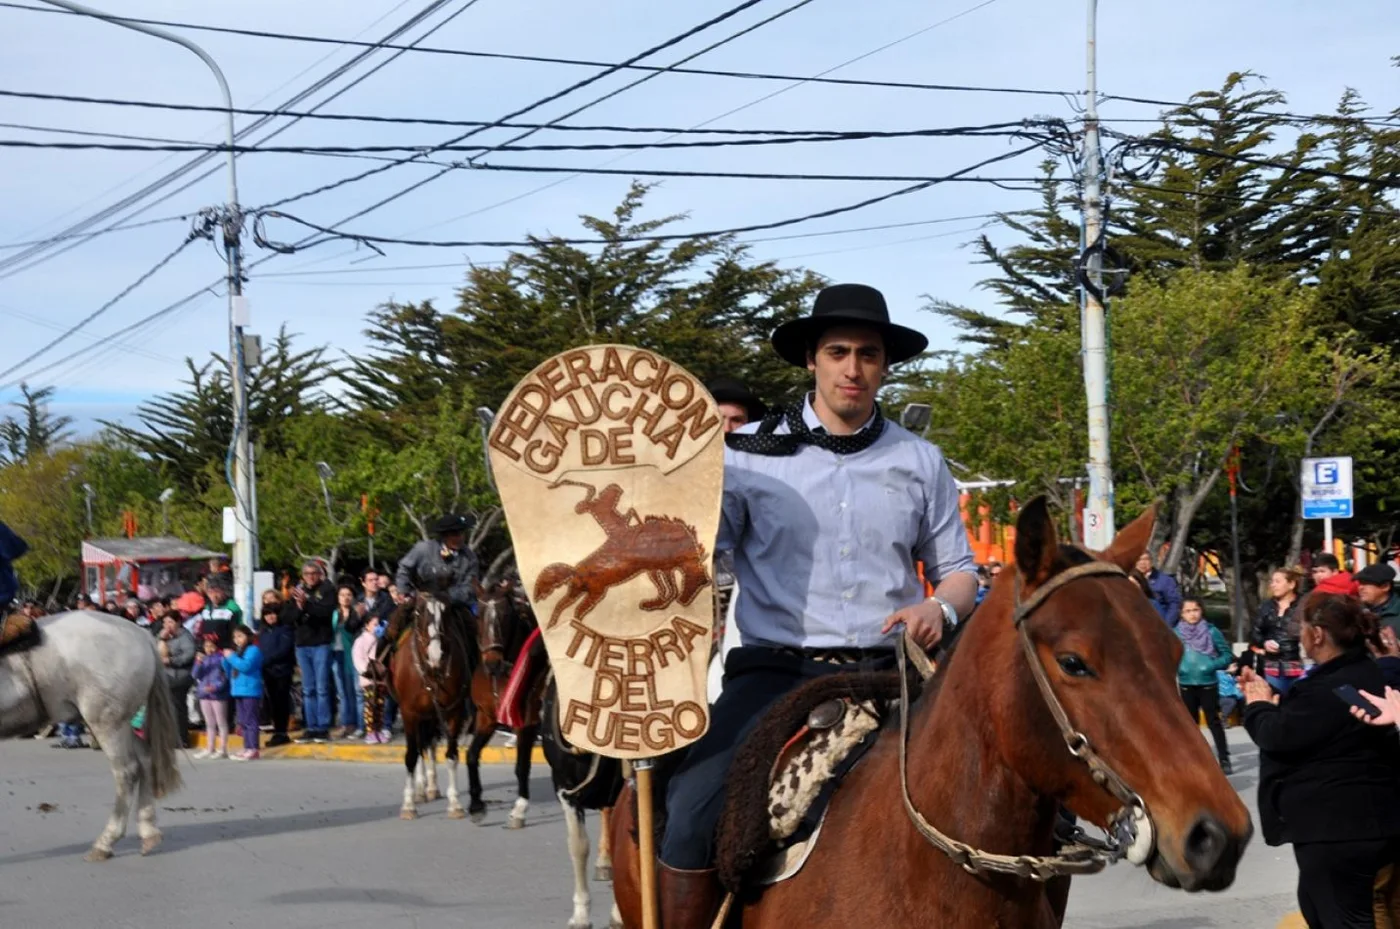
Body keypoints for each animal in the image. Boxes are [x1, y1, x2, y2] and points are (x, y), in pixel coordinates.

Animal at [0, 612, 183, 861]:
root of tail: (140, 634)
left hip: (105, 722)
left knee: (126, 771)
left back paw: (106, 842)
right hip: (120, 722)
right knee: (145, 760)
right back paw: (148, 831)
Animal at [389, 590, 476, 817]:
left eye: (446, 613)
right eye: (419, 613)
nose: (437, 655)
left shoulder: (453, 711)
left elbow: (451, 755)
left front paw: (455, 803)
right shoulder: (409, 712)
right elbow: (411, 755)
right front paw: (408, 804)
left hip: (432, 715)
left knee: (428, 744)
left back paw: (431, 788)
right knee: (420, 746)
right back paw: (420, 790)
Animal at [464, 582, 540, 828]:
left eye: (506, 615)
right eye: (479, 613)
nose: (493, 662)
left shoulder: (526, 722)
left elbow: (522, 766)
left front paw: (519, 809)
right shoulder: (486, 718)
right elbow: (471, 755)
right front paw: (476, 805)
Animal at [532, 481, 711, 626]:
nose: (685, 601)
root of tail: (574, 572)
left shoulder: (658, 568)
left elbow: (669, 589)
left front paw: (653, 603)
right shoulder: (657, 567)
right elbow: (669, 588)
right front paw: (655, 603)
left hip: (580, 592)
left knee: (564, 606)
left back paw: (553, 624)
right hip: (594, 593)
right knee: (576, 610)